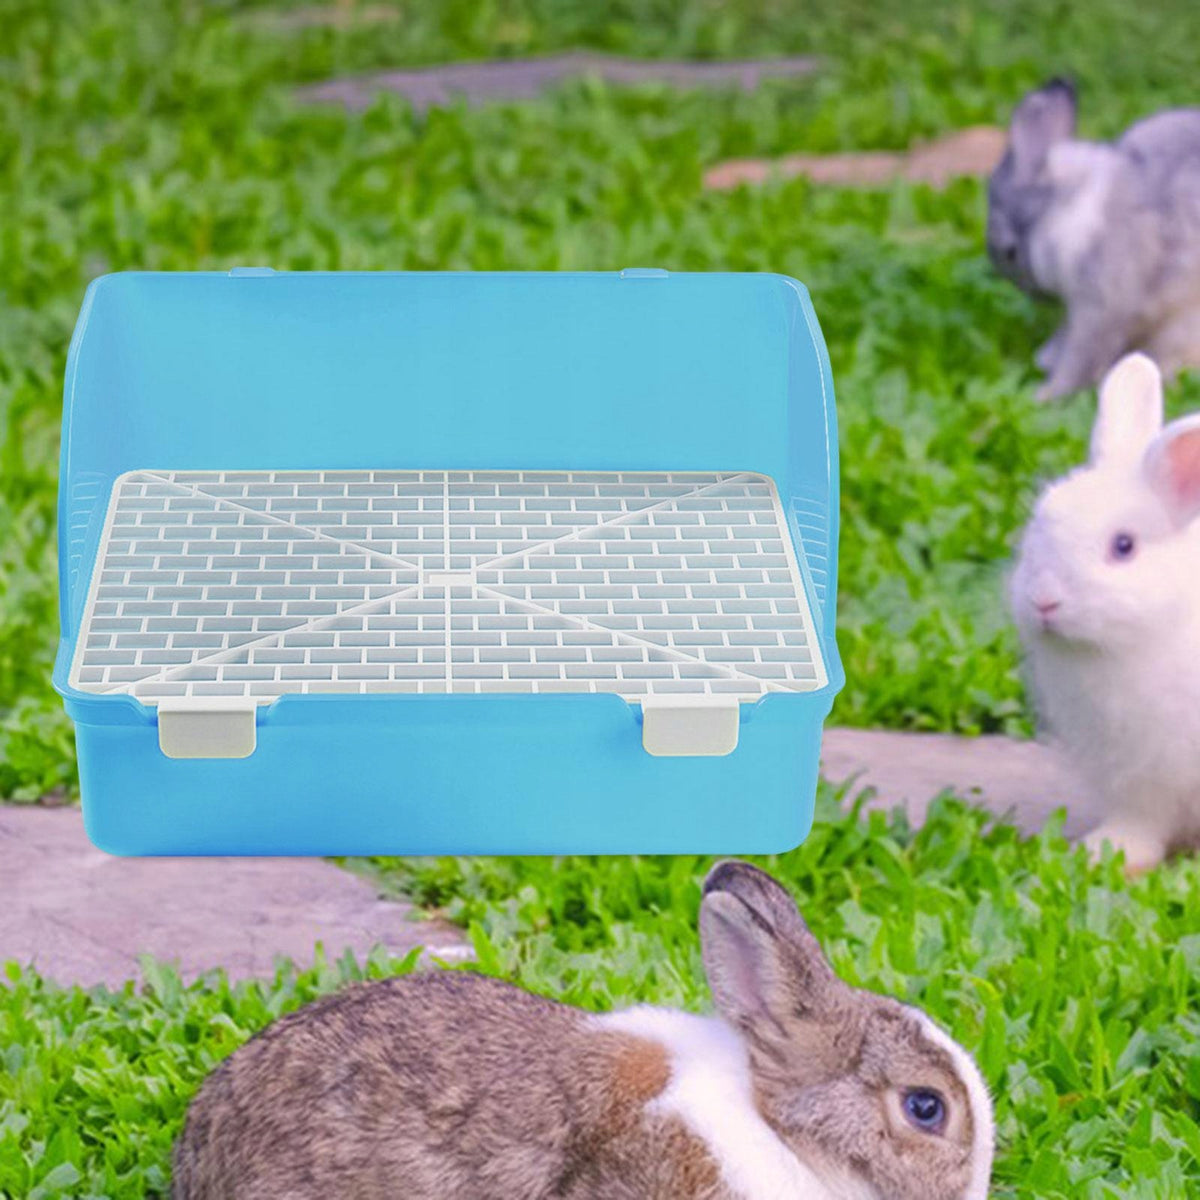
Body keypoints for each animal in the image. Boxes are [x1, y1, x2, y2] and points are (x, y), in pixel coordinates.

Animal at [987, 78, 1200, 400]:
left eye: (1010, 252)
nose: (1030, 292)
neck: (1069, 209)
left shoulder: (1101, 306)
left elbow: (1081, 356)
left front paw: (1045, 394)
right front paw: (1046, 360)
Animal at [1011, 353, 1200, 871]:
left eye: (1124, 546)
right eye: (1037, 523)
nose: (1044, 599)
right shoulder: (1137, 775)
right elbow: (1141, 821)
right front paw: (1108, 851)